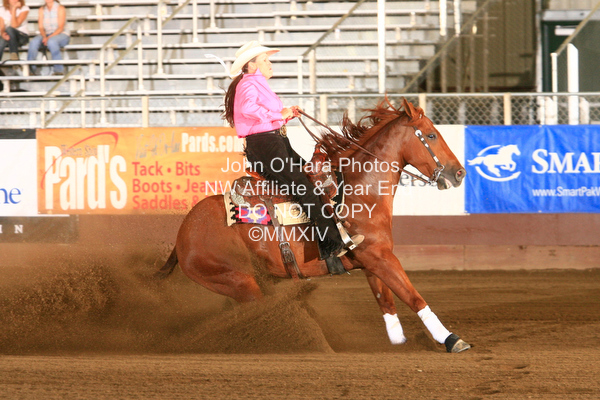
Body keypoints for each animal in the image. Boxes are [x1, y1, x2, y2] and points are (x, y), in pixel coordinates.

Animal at [157, 97, 471, 353]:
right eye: (431, 134)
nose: (459, 173)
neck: (358, 190)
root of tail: (184, 233)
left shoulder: (372, 262)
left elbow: (387, 302)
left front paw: (398, 342)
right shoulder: (380, 257)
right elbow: (413, 297)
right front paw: (452, 340)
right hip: (237, 281)